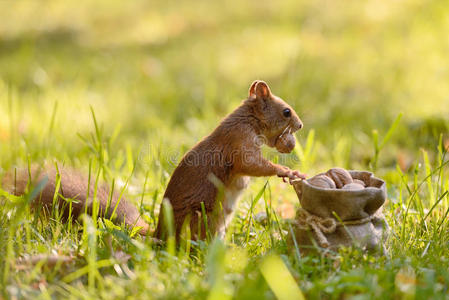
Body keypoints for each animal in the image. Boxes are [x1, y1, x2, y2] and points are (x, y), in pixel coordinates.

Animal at [0, 81, 304, 243]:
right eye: (286, 111)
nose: (300, 126)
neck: (248, 119)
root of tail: (160, 233)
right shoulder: (238, 143)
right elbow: (252, 164)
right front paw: (286, 170)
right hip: (200, 217)